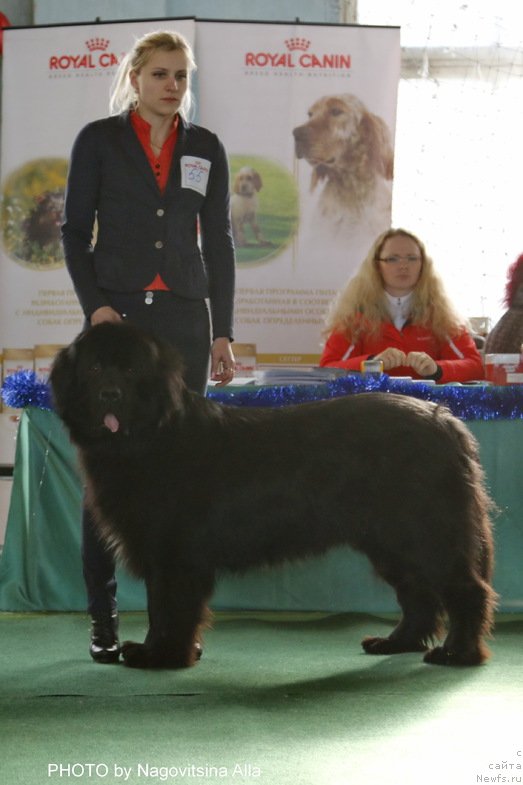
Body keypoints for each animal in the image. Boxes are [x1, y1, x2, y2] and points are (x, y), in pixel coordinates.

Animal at [51, 318, 498, 668]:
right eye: (95, 367)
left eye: (130, 370)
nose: (110, 395)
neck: (149, 435)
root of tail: (446, 421)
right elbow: (160, 607)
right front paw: (162, 652)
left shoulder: (174, 552)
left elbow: (168, 607)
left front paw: (161, 656)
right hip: (390, 541)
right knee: (418, 595)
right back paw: (396, 642)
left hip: (425, 533)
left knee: (465, 590)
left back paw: (457, 653)